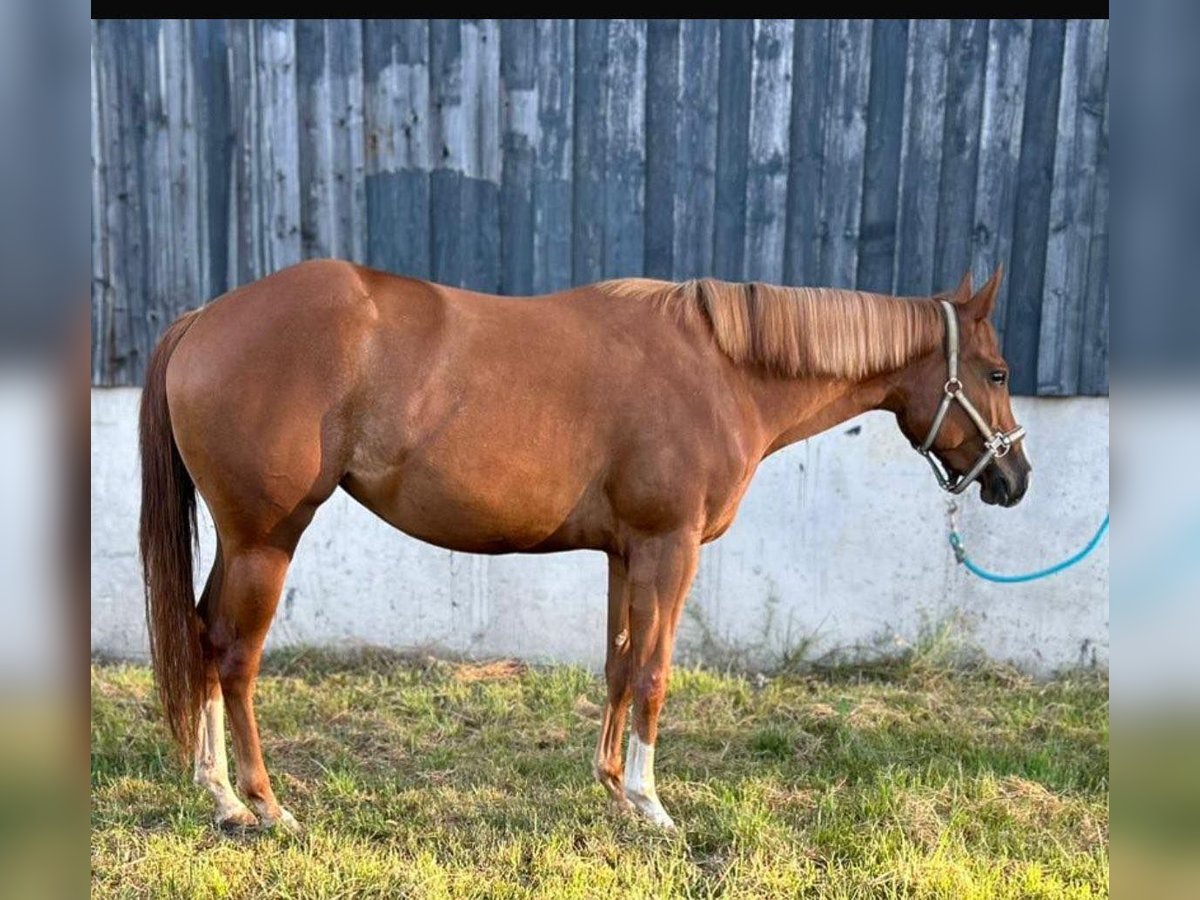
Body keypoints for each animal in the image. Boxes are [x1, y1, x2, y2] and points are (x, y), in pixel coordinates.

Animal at [136, 260, 1027, 830]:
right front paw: (653, 806)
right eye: (997, 372)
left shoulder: (626, 553)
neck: (721, 369)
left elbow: (619, 664)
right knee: (236, 658)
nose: (1014, 478)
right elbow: (655, 673)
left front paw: (612, 787)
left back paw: (218, 794)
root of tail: (204, 319)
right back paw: (264, 804)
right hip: (266, 540)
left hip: (240, 543)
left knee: (203, 638)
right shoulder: (670, 548)